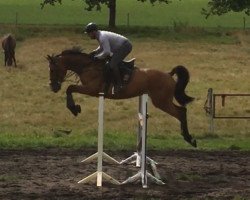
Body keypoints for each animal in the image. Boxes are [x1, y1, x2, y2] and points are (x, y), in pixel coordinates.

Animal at [46, 47, 196, 147]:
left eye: (52, 70)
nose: (53, 87)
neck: (87, 66)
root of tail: (169, 75)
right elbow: (70, 89)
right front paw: (75, 108)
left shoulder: (92, 89)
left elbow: (70, 88)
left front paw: (74, 108)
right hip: (162, 101)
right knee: (182, 111)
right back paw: (188, 137)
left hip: (161, 101)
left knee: (181, 112)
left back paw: (189, 139)